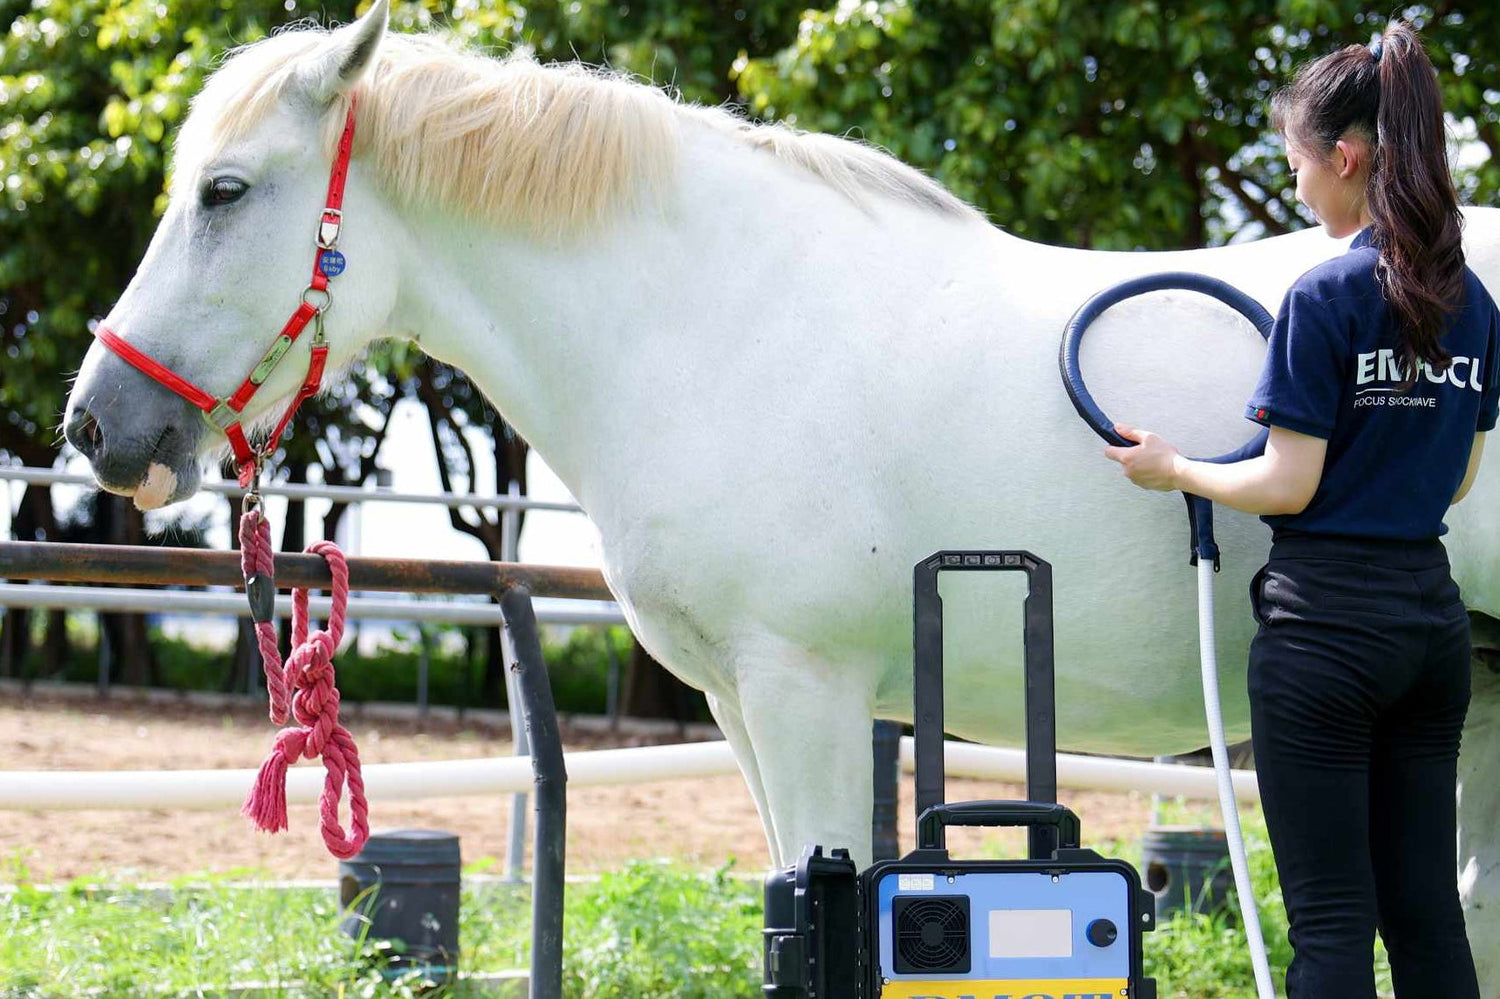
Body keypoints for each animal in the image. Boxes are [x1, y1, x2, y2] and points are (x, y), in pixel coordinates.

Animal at [61, 2, 1500, 982]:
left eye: (224, 191)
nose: (97, 425)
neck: (714, 319)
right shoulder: (738, 703)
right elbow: (787, 908)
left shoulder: (807, 691)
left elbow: (829, 913)